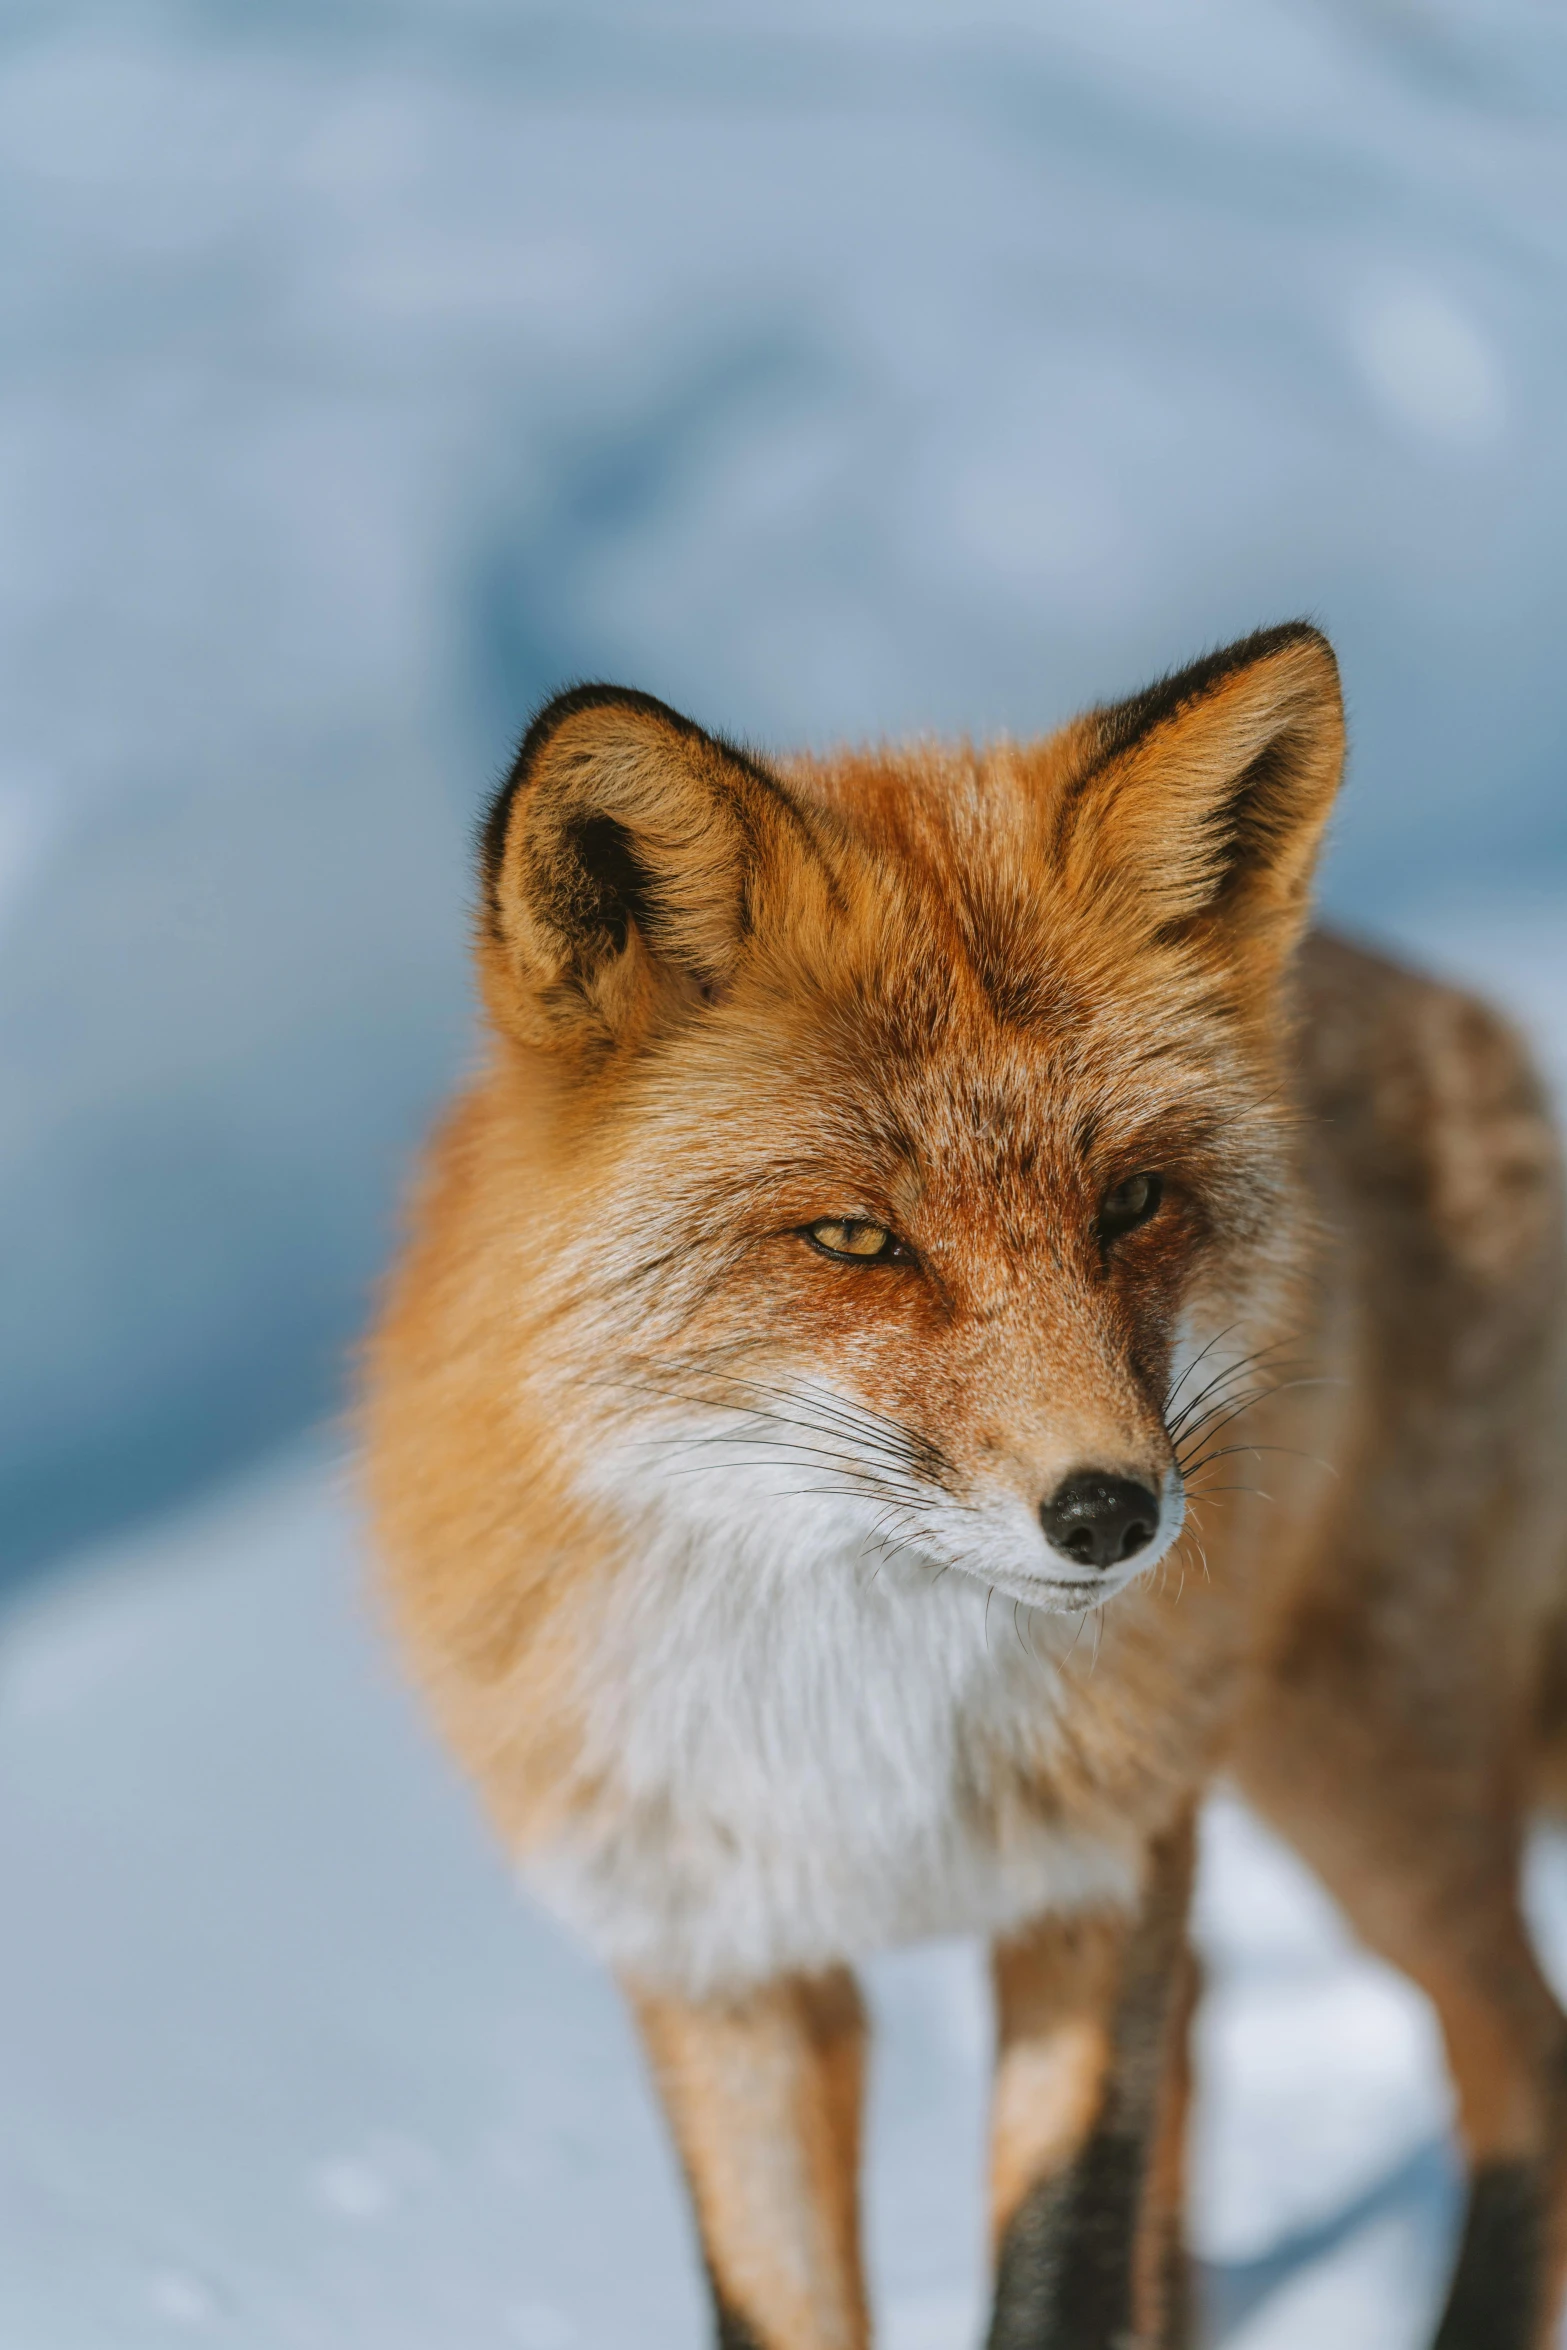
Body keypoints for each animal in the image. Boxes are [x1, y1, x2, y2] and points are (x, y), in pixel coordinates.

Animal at [361, 629, 1567, 2350]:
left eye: (1131, 1202)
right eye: (856, 1238)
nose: (1111, 1512)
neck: (850, 1690)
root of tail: (1430, 987)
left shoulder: (1088, 1872)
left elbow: (1062, 2257)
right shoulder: (712, 1951)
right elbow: (780, 2302)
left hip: (1359, 1768)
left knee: (1519, 2047)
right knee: (1231, 2011)